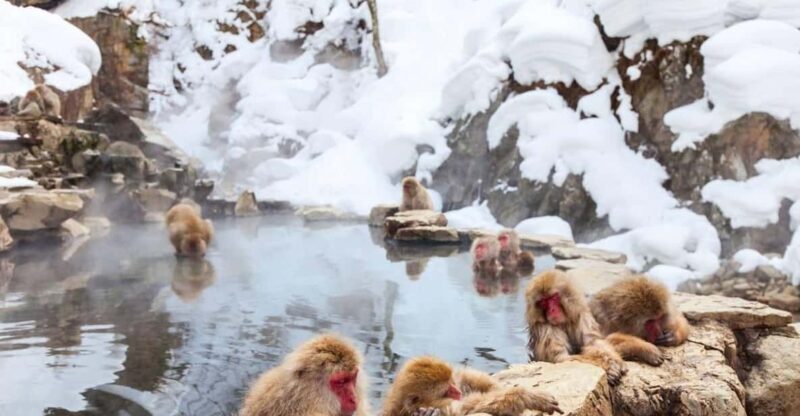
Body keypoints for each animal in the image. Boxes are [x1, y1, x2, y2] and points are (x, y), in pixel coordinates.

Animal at [382, 356, 561, 416]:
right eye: (447, 391)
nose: (457, 391)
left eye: (451, 383)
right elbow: (475, 407)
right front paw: (527, 397)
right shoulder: (449, 408)